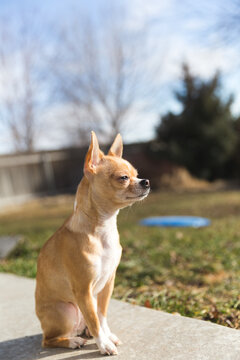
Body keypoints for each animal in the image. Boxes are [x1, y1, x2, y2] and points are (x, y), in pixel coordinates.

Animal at [35, 131, 150, 354]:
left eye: (137, 174)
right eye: (123, 178)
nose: (146, 181)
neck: (103, 228)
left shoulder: (107, 284)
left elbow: (101, 315)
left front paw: (107, 336)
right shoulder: (83, 290)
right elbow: (95, 320)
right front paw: (103, 344)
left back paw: (84, 334)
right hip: (67, 310)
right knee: (48, 340)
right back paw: (71, 341)